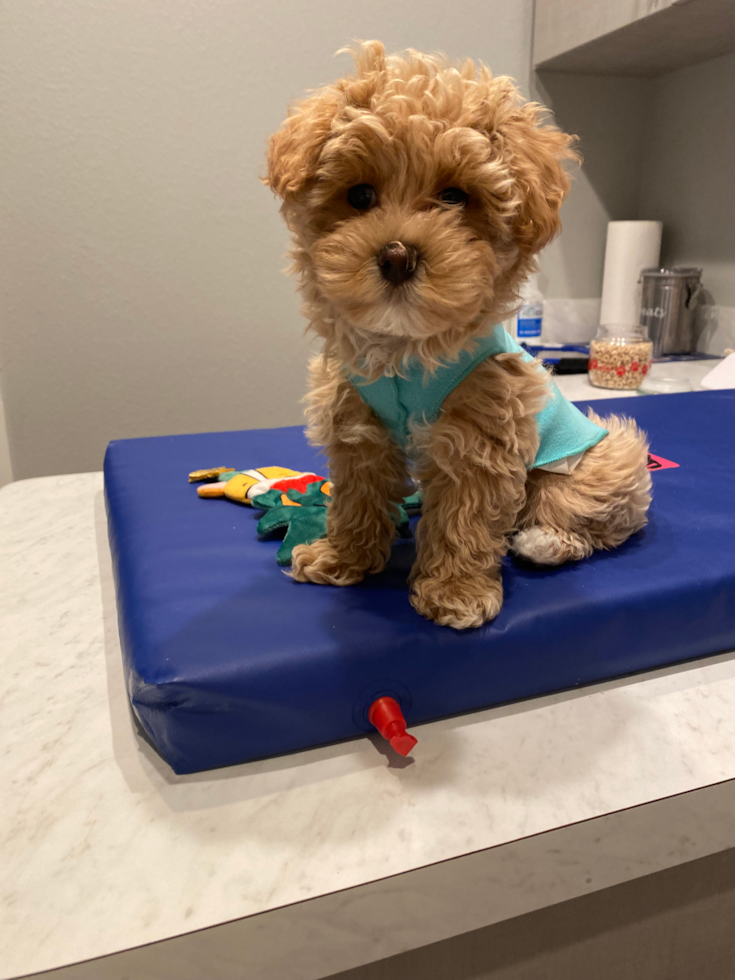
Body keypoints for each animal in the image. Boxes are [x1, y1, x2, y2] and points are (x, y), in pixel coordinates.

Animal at [264, 42, 648, 628]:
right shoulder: (356, 419)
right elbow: (356, 496)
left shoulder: (482, 428)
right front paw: (343, 556)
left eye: (454, 196)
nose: (397, 255)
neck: (404, 348)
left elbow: (465, 518)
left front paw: (456, 589)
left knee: (583, 515)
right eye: (359, 195)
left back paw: (544, 542)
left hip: (601, 460)